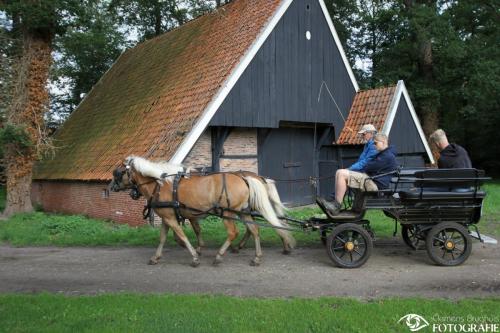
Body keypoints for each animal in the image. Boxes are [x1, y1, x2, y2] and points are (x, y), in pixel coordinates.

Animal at [111, 156, 294, 268]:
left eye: (119, 172)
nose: (111, 187)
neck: (161, 185)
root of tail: (246, 178)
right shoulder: (167, 217)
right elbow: (163, 238)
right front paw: (156, 257)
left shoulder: (174, 218)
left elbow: (183, 236)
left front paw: (195, 256)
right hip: (244, 211)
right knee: (255, 229)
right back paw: (256, 256)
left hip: (228, 213)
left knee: (234, 232)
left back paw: (220, 255)